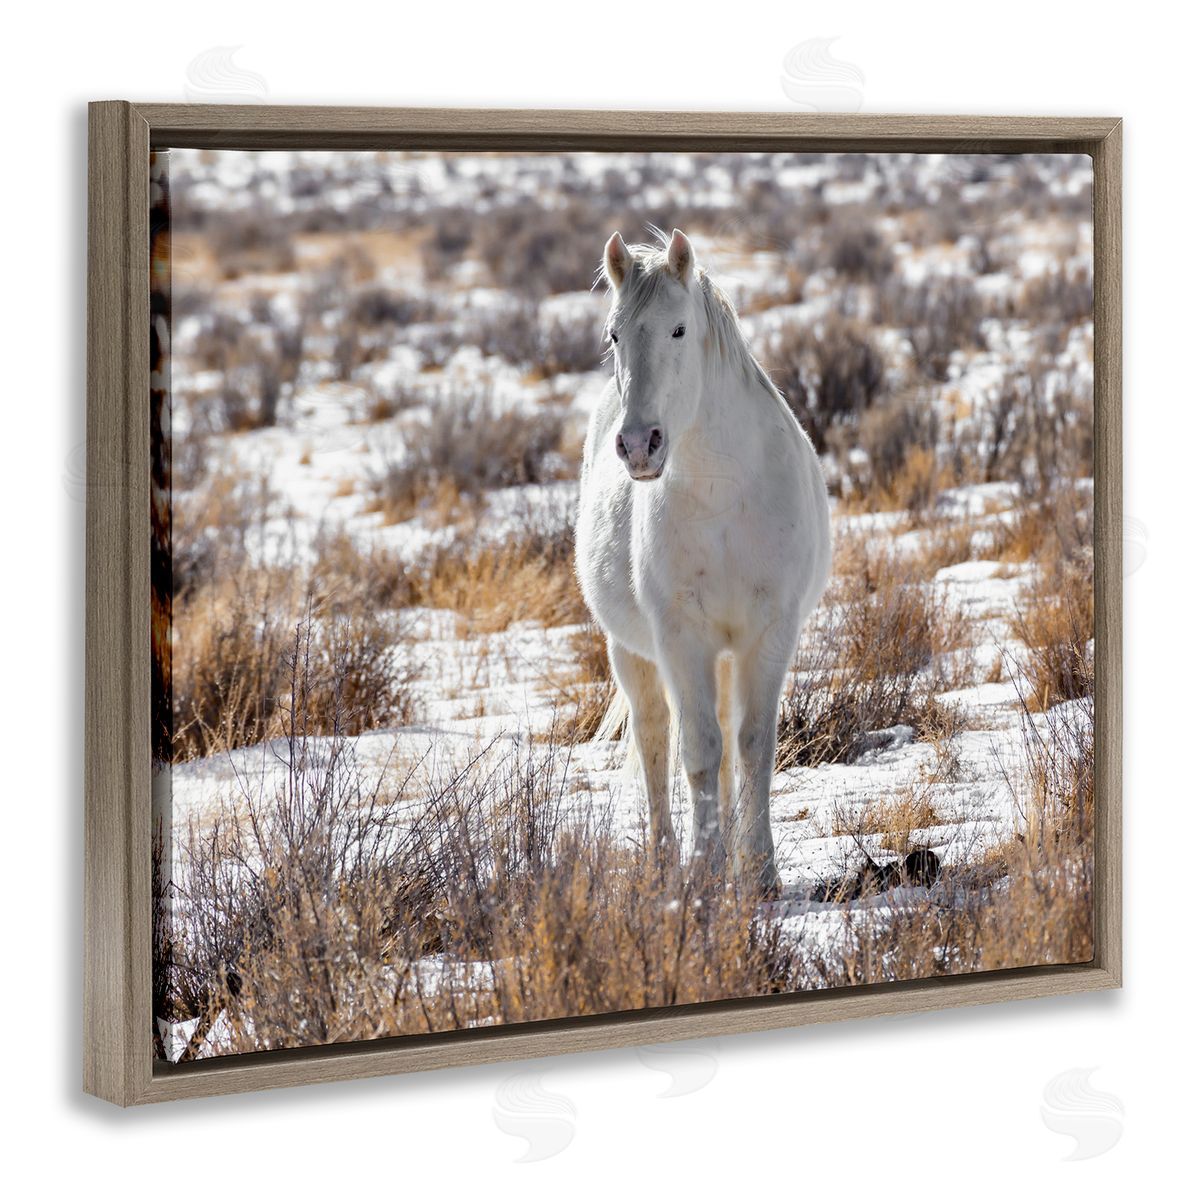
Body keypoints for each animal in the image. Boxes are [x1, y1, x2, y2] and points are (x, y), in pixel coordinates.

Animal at [575, 228, 831, 895]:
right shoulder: (680, 636)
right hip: (633, 653)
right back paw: (668, 858)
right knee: (654, 738)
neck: (723, 494)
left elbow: (752, 744)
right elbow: (696, 750)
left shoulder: (769, 630)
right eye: (615, 333)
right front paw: (705, 871)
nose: (638, 445)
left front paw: (759, 870)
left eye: (679, 329)